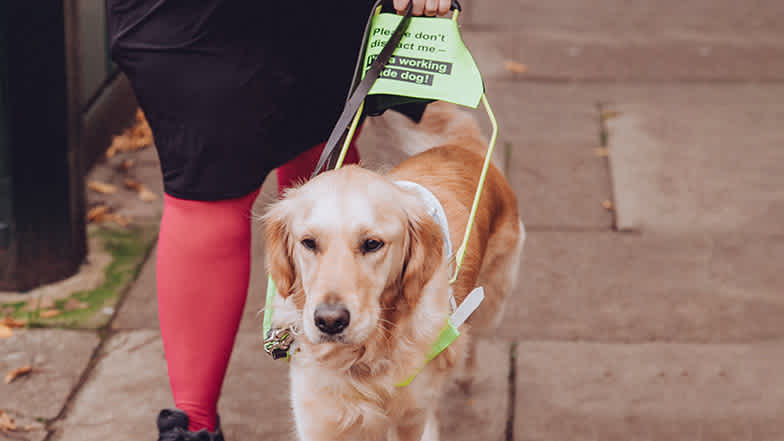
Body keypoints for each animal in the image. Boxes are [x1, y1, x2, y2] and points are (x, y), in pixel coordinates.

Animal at [264, 103, 528, 440]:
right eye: (308, 242)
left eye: (372, 243)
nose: (329, 321)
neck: (364, 358)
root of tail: (463, 148)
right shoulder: (318, 418)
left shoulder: (413, 415)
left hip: (493, 301)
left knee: (473, 339)